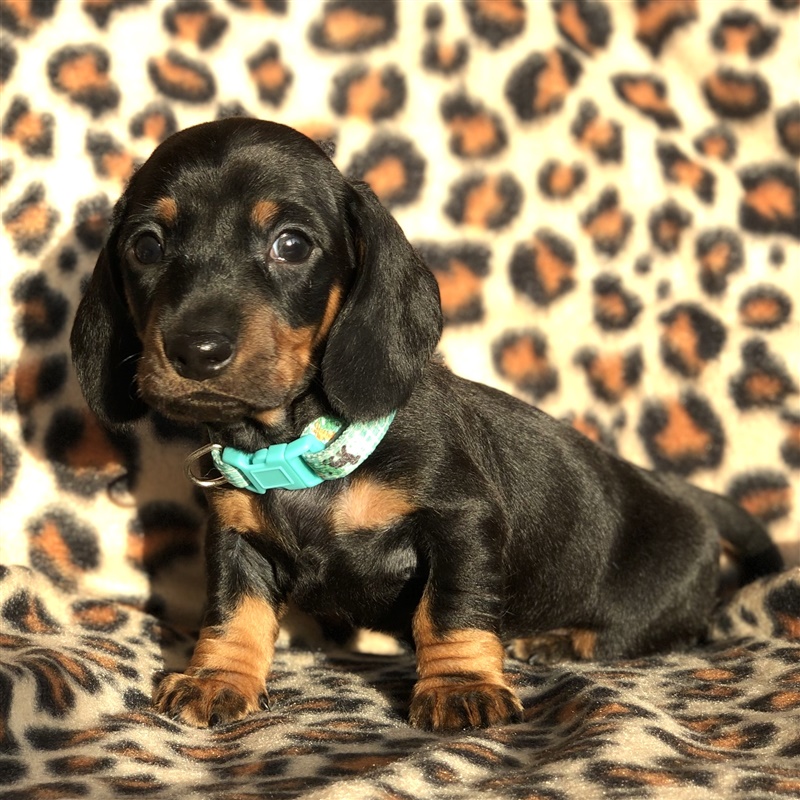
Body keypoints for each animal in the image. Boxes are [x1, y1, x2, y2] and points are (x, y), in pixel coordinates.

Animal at [70, 117, 783, 732]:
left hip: (661, 598)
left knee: (654, 633)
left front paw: (461, 686)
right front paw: (217, 678)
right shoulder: (237, 540)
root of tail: (682, 494)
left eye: (291, 244)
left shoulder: (462, 522)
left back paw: (559, 640)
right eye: (147, 246)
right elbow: (232, 615)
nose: (196, 351)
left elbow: (451, 610)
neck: (300, 449)